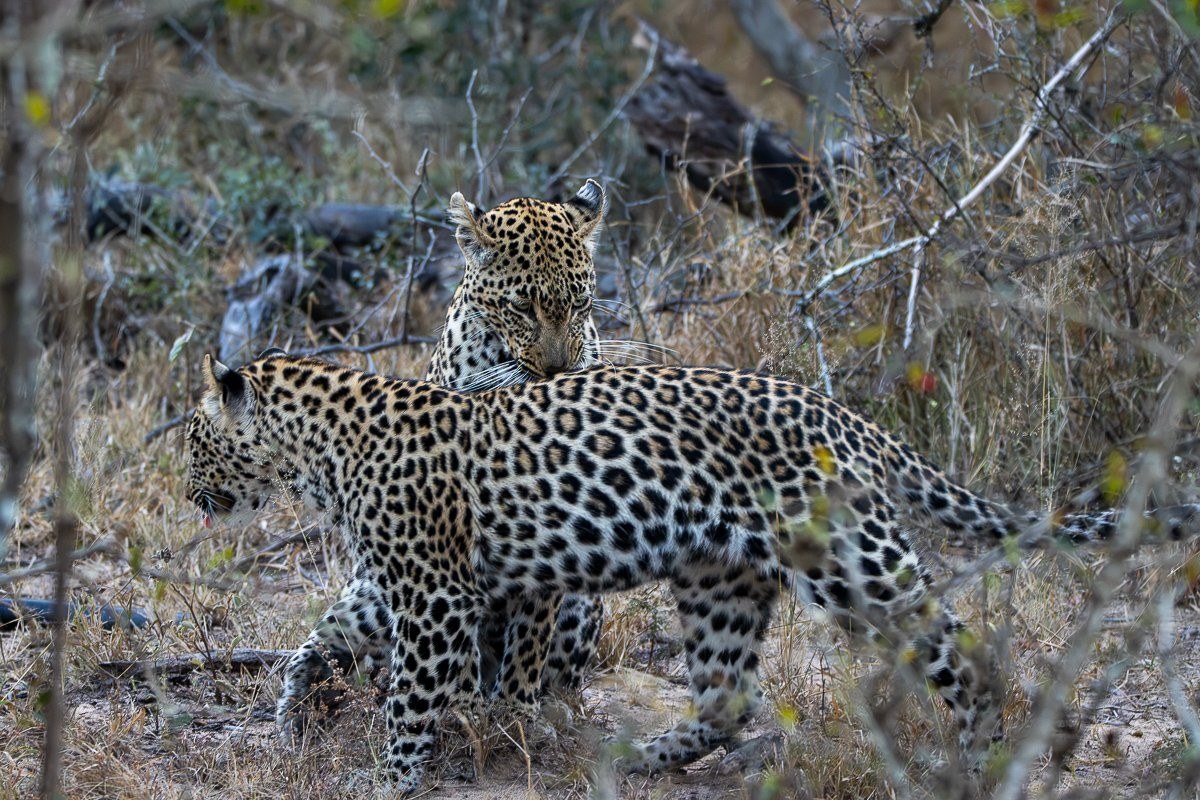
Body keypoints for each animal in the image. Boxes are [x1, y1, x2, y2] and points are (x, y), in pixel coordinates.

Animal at [185, 352, 1198, 794]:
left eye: (194, 439)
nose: (192, 495)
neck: (321, 446)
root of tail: (846, 416)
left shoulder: (437, 593)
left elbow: (407, 702)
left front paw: (388, 779)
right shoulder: (415, 583)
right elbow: (329, 627)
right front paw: (292, 706)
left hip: (853, 566)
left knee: (960, 647)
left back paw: (985, 756)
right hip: (720, 578)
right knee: (727, 698)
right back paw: (636, 758)